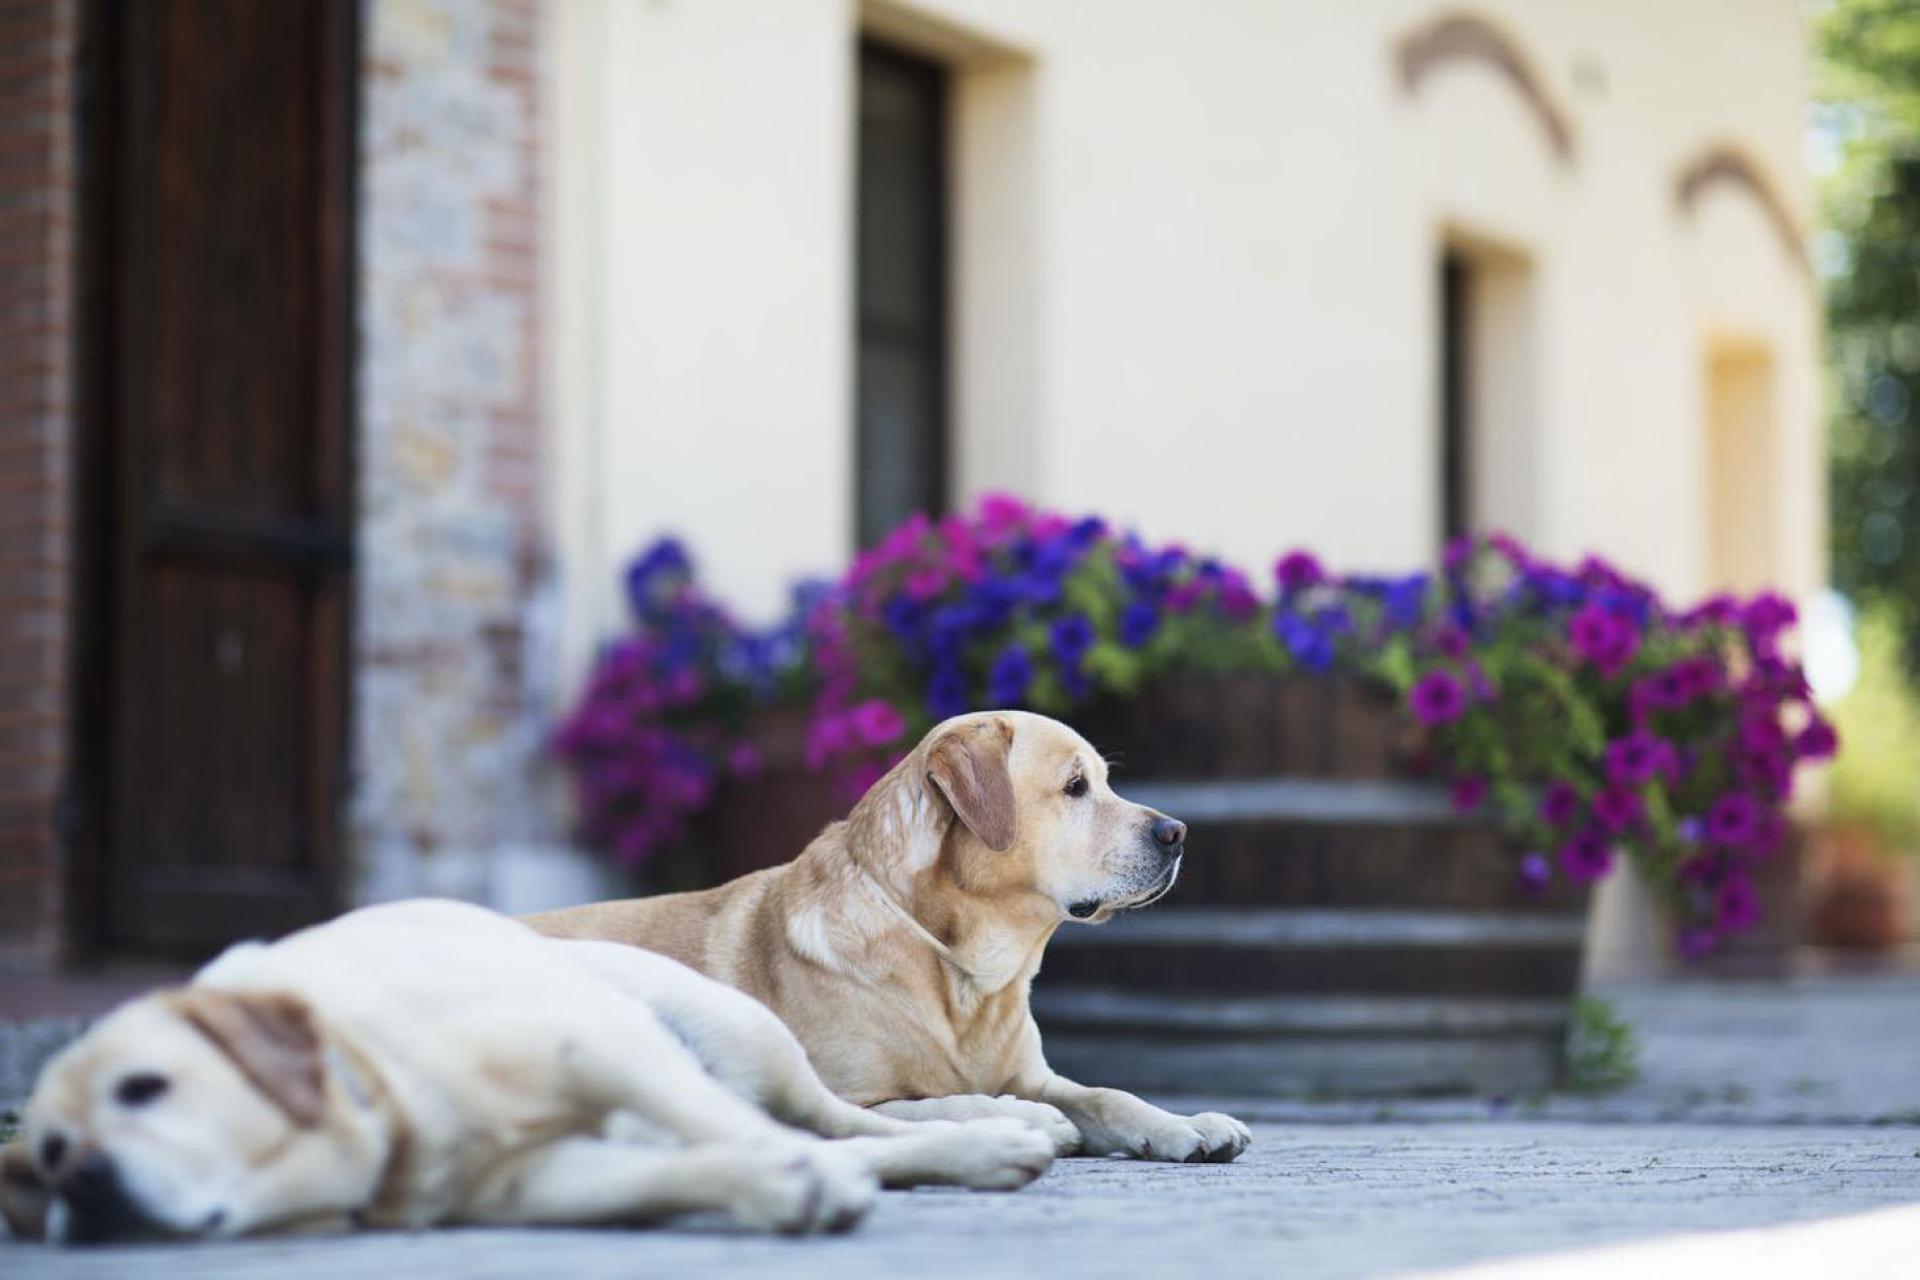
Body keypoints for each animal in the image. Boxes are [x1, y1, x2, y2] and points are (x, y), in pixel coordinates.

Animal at [0, 898, 1059, 1243]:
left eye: (145, 1087)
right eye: (45, 1152)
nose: (80, 1184)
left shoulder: (596, 1043)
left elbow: (742, 1130)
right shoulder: (541, 1180)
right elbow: (706, 1160)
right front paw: (778, 1190)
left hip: (734, 1030)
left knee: (846, 1124)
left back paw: (994, 1138)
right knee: (837, 1138)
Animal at [529, 717, 1244, 1166]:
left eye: (1105, 780)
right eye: (1075, 788)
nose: (1178, 833)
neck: (964, 974)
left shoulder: (1037, 1076)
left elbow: (1106, 1095)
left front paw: (1186, 1124)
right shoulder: (854, 1095)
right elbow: (939, 1106)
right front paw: (1026, 1121)